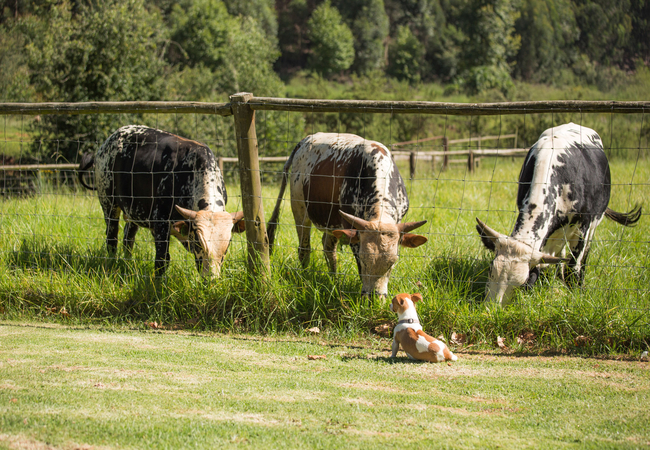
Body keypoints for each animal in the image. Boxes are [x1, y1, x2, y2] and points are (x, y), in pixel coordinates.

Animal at [266, 132, 428, 298]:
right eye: (363, 259)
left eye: (392, 263)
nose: (375, 298)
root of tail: (307, 139)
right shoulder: (353, 233)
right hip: (299, 207)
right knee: (304, 248)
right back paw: (305, 277)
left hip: (331, 219)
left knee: (328, 247)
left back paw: (334, 280)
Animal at [474, 123, 640, 306]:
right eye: (491, 269)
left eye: (523, 282)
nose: (492, 308)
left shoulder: (583, 227)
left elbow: (573, 266)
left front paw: (575, 294)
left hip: (593, 224)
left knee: (583, 255)